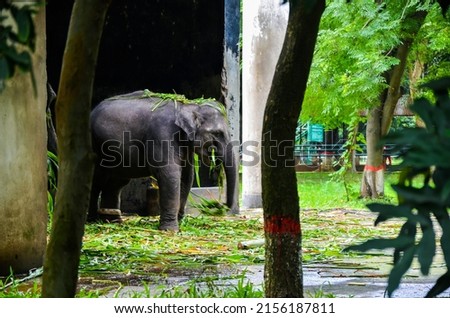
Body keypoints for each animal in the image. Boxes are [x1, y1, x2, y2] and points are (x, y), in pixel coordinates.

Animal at [89, 90, 241, 230]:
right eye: (217, 133)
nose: (222, 206)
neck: (187, 105)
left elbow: (187, 176)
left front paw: (180, 222)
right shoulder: (162, 134)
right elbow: (170, 174)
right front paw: (170, 230)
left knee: (116, 182)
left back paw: (113, 221)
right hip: (96, 145)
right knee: (97, 181)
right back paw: (93, 220)